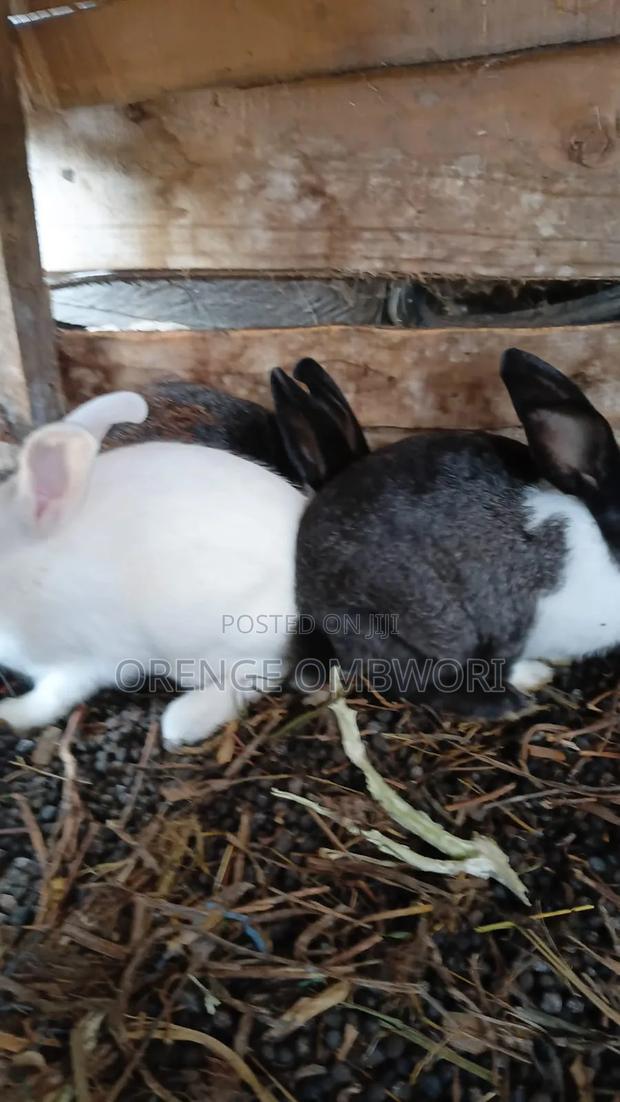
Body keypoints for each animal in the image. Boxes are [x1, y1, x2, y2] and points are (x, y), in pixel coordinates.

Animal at [0, 390, 306, 749]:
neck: (35, 574)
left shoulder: (82, 660)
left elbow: (50, 698)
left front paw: (10, 713)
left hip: (233, 637)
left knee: (261, 673)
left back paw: (183, 721)